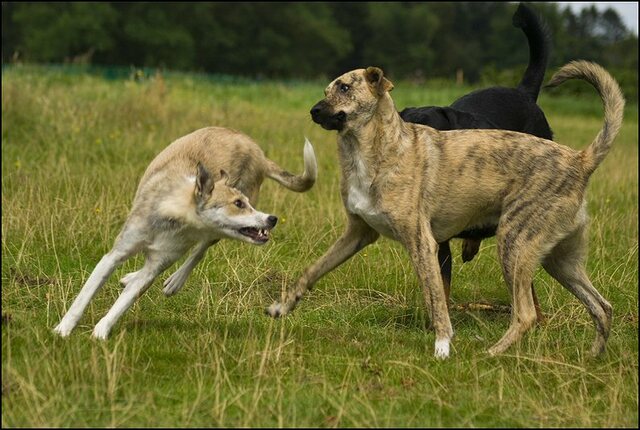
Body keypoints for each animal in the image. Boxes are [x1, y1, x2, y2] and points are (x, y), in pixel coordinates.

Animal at [55, 127, 318, 340]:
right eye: (238, 204)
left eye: (246, 203)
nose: (272, 219)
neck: (177, 215)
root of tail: (258, 152)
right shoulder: (115, 253)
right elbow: (85, 295)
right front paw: (63, 330)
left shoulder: (157, 263)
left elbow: (125, 301)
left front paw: (100, 332)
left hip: (214, 233)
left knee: (199, 250)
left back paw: (174, 281)